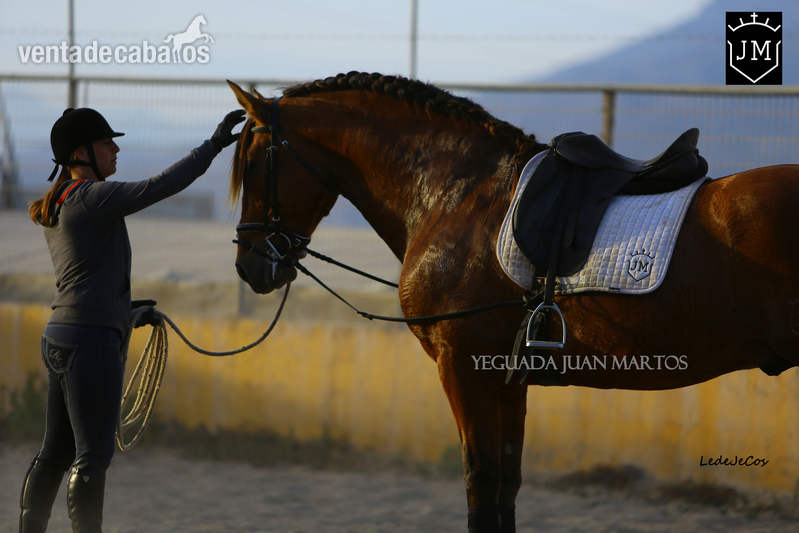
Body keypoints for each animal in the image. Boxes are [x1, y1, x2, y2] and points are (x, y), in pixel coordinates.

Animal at [226, 72, 799, 533]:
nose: (250, 266)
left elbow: (480, 483)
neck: (457, 193)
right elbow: (505, 483)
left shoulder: (463, 365)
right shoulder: (508, 375)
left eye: (252, 164)